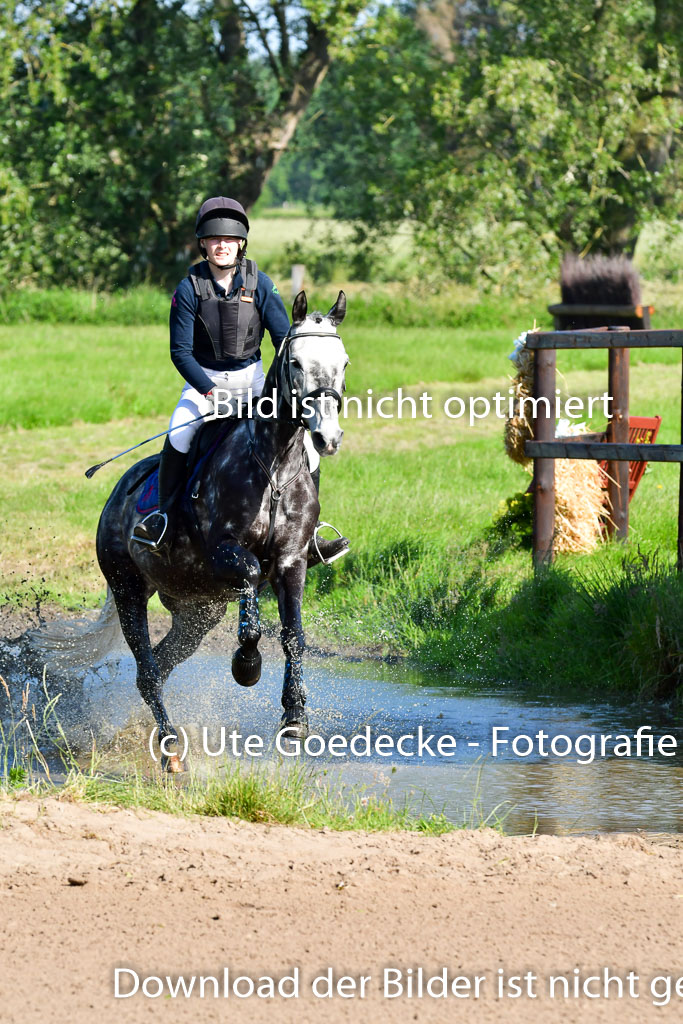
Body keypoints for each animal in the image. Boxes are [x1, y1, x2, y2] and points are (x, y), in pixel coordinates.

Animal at [96, 288, 350, 770]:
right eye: (295, 363)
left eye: (343, 363)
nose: (327, 438)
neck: (274, 463)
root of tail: (118, 491)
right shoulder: (224, 551)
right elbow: (250, 592)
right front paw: (246, 665)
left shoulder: (292, 560)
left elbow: (294, 636)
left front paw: (295, 719)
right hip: (127, 588)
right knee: (148, 671)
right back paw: (171, 750)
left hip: (199, 609)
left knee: (160, 664)